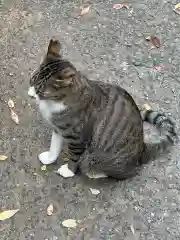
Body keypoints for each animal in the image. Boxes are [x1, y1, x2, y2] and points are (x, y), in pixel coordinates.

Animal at [28, 38, 177, 179]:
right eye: (32, 80)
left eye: (40, 90)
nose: (31, 93)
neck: (53, 102)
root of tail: (142, 149)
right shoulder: (58, 128)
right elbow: (54, 146)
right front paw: (50, 158)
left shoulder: (77, 138)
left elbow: (74, 157)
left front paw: (69, 170)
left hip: (101, 158)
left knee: (128, 172)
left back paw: (95, 172)